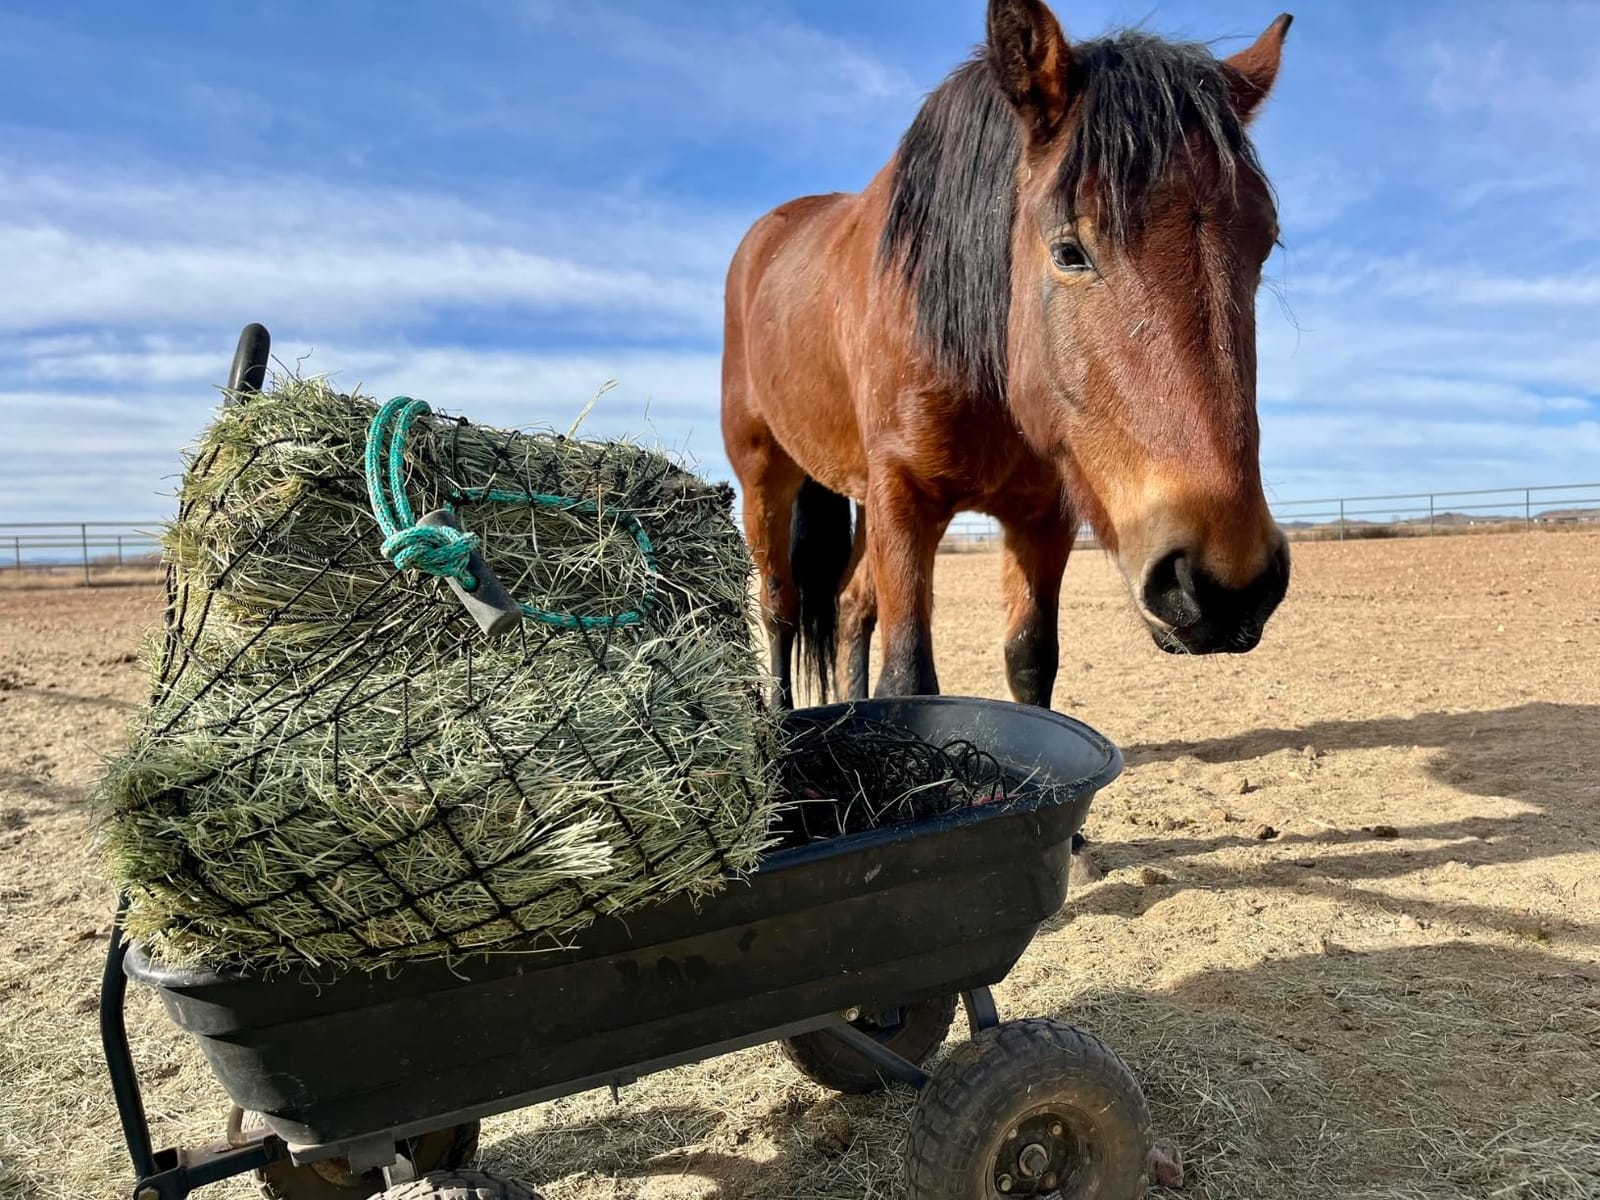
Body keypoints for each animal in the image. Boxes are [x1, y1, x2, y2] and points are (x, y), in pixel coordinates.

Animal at [722, 0, 1294, 710]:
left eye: (1265, 243)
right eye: (1069, 251)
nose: (1225, 584)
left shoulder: (1042, 515)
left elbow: (1029, 660)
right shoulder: (902, 497)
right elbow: (908, 676)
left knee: (853, 606)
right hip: (765, 473)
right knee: (780, 607)